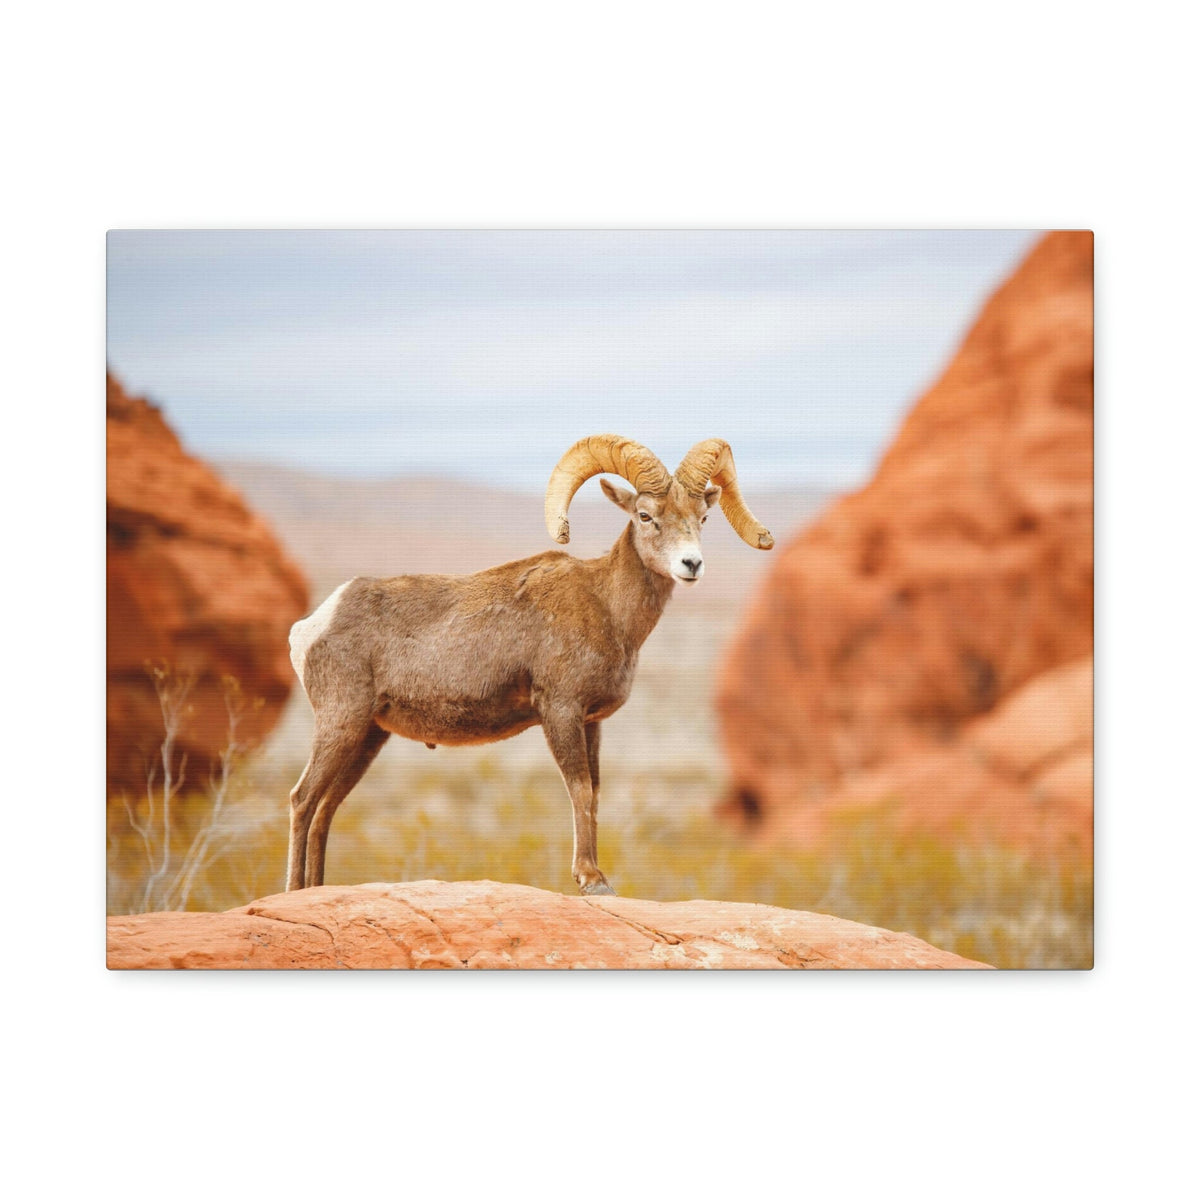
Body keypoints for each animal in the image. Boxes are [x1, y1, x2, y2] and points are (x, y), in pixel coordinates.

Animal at [285, 435, 774, 895]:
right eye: (645, 516)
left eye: (703, 518)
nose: (691, 564)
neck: (608, 608)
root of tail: (313, 625)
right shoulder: (559, 711)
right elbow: (579, 789)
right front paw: (591, 880)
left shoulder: (591, 722)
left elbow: (595, 792)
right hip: (341, 723)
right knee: (303, 800)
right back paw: (293, 889)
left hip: (368, 737)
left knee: (326, 807)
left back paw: (316, 890)